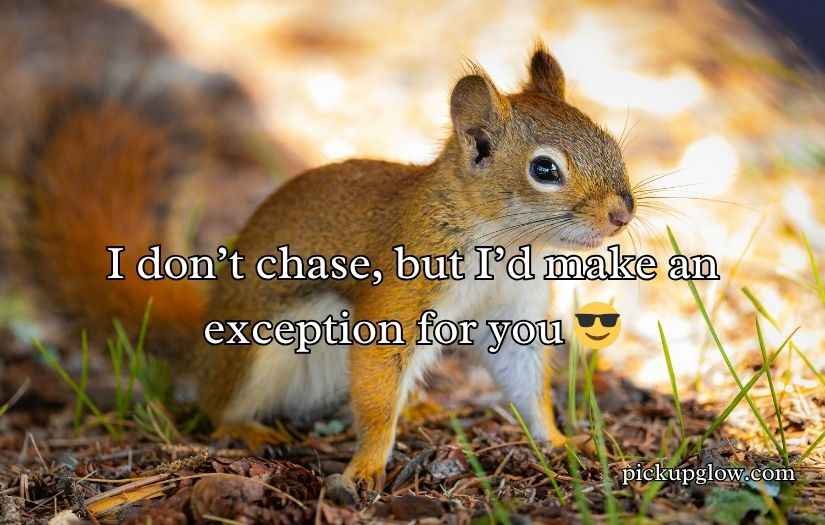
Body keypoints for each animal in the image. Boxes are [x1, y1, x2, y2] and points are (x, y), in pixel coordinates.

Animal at [10, 4, 635, 502]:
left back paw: (419, 407)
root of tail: (203, 343)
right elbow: (378, 390)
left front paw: (558, 440)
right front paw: (366, 468)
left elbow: (526, 382)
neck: (503, 243)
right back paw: (249, 429)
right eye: (544, 170)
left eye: (608, 138)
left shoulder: (513, 308)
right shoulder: (402, 289)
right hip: (262, 348)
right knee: (218, 406)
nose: (622, 214)